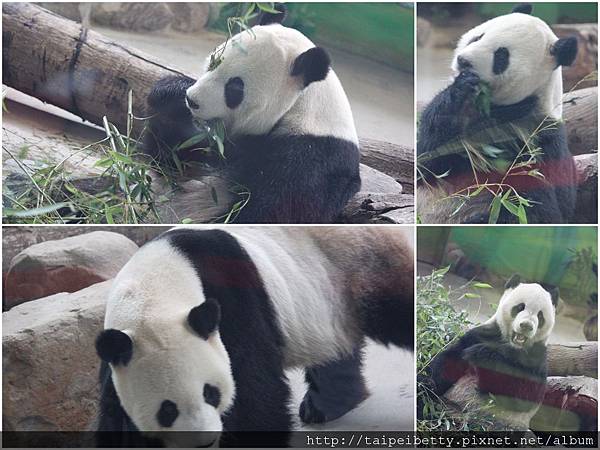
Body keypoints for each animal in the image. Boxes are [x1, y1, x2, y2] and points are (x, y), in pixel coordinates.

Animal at [95, 227, 412, 444]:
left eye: (210, 392)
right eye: (167, 410)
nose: (204, 441)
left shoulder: (232, 301)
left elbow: (254, 391)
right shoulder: (120, 350)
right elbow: (115, 417)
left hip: (361, 266)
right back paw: (327, 406)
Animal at [144, 6, 364, 224]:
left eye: (235, 88)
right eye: (213, 62)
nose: (192, 100)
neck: (299, 105)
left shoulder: (314, 157)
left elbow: (279, 211)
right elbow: (172, 159)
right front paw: (172, 93)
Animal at [418, 2, 580, 223]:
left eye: (501, 56)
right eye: (478, 37)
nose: (463, 61)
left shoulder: (536, 138)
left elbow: (541, 206)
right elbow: (428, 158)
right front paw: (463, 87)